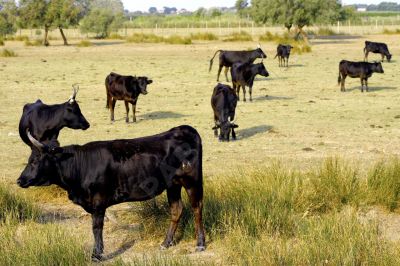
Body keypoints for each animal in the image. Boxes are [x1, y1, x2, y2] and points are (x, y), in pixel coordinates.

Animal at [18, 125, 206, 260]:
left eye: (34, 161)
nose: (20, 180)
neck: (81, 165)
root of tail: (184, 129)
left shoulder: (98, 202)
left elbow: (96, 228)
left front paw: (96, 254)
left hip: (192, 181)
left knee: (197, 208)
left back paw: (200, 244)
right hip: (173, 185)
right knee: (176, 210)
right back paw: (166, 243)